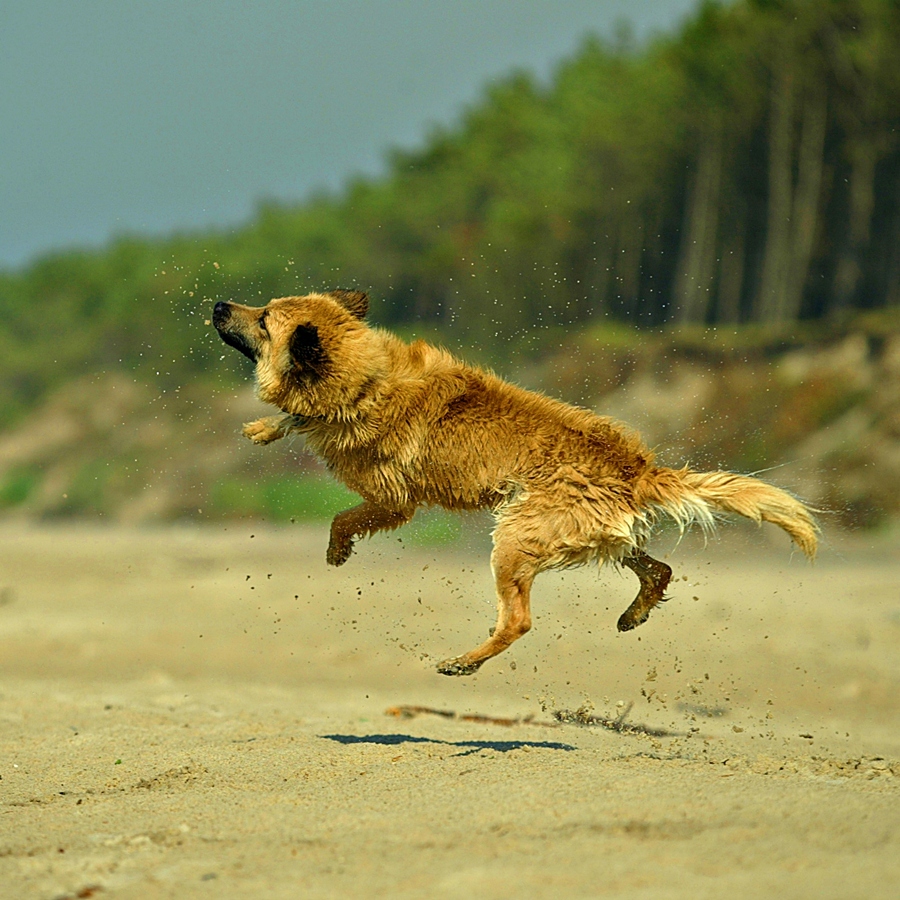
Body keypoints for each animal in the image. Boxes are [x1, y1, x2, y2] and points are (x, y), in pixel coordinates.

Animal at [214, 290, 820, 676]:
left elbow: (346, 514)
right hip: (595, 536)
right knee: (659, 568)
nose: (219, 305)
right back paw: (634, 613)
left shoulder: (392, 500)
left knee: (520, 622)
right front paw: (263, 427)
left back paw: (464, 662)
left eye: (264, 320)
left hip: (513, 538)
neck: (369, 380)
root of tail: (639, 469)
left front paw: (337, 547)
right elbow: (293, 419)